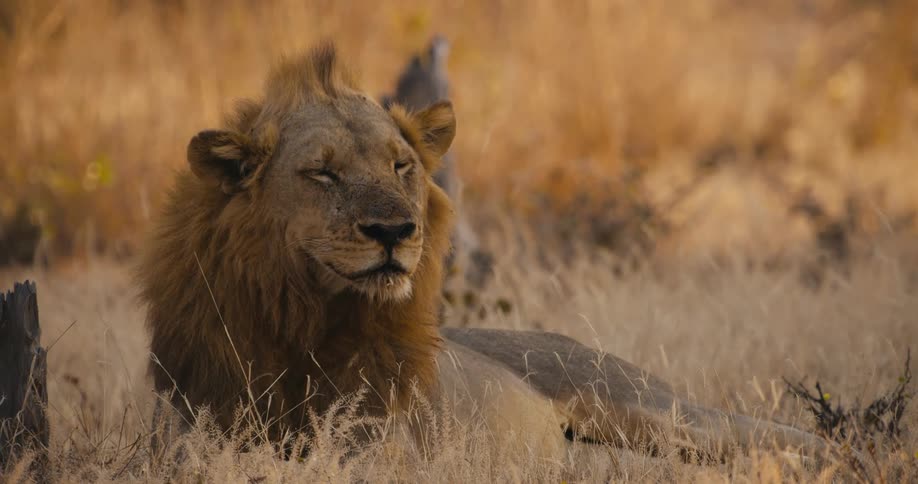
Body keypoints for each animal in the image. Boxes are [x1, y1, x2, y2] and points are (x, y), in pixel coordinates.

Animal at [139, 43, 831, 463]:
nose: (396, 230)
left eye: (402, 166)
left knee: (786, 438)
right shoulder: (191, 436)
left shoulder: (380, 449)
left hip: (658, 410)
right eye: (323, 174)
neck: (306, 319)